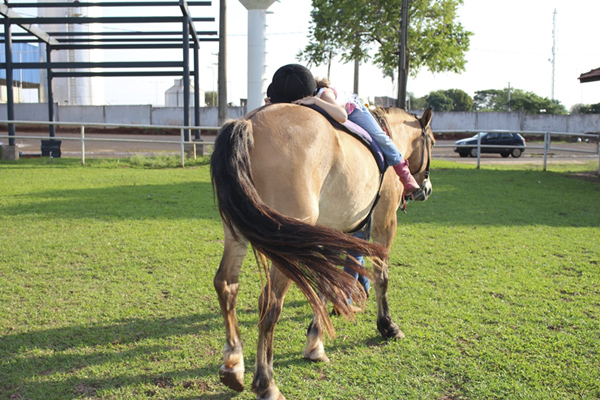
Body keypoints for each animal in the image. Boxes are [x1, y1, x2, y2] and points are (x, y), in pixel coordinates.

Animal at [210, 104, 432, 400]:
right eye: (432, 141)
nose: (426, 189)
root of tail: (249, 123)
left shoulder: (330, 232)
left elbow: (327, 284)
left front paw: (315, 344)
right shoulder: (385, 223)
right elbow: (381, 277)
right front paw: (387, 325)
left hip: (239, 230)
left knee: (227, 285)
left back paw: (233, 364)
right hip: (285, 243)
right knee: (270, 303)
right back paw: (266, 381)